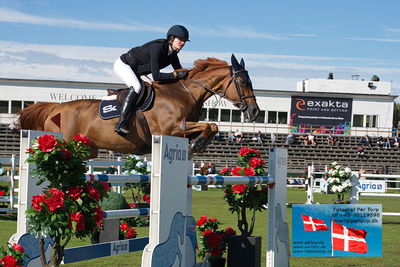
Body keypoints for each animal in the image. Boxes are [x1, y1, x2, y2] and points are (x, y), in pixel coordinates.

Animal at [14, 54, 260, 157]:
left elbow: (212, 126)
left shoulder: (181, 130)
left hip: (88, 150)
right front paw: (198, 144)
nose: (255, 111)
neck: (183, 93)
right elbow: (211, 125)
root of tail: (55, 109)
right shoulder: (170, 129)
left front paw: (198, 144)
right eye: (243, 82)